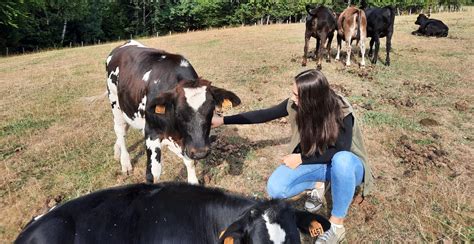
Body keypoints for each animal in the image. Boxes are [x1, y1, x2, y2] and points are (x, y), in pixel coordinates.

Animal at [106, 41, 241, 184]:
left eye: (211, 110)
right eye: (179, 113)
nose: (200, 153)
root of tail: (126, 43)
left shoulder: (187, 141)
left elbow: (190, 162)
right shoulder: (151, 132)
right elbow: (154, 174)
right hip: (115, 103)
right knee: (120, 131)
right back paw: (125, 162)